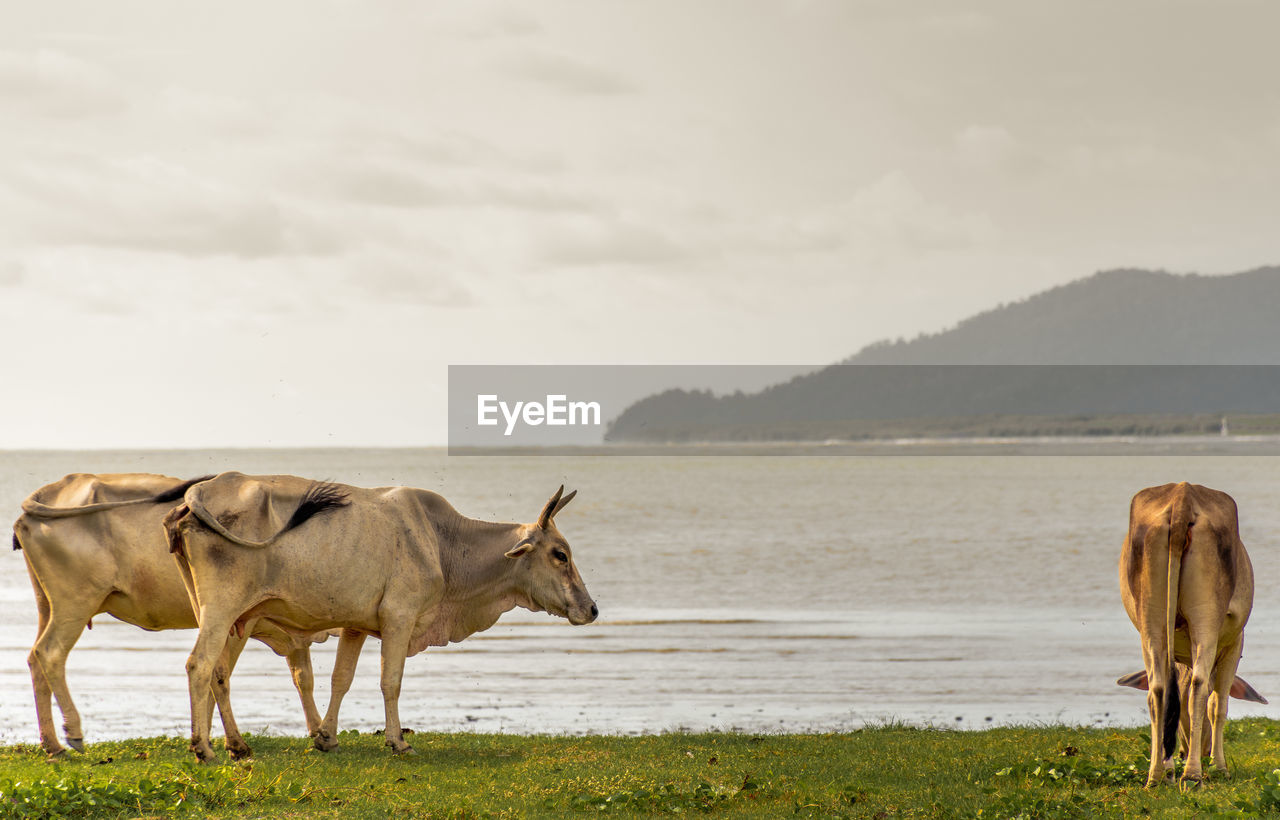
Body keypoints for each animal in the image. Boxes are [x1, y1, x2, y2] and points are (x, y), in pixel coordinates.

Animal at [11, 470, 330, 757]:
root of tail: (57, 487)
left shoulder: (292, 632)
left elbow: (303, 677)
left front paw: (319, 733)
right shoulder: (240, 622)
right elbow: (220, 674)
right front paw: (229, 743)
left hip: (47, 604)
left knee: (34, 659)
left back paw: (52, 745)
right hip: (76, 602)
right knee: (50, 653)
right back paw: (73, 733)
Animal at [165, 470, 599, 762]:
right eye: (560, 554)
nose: (592, 609)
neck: (442, 541)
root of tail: (199, 492)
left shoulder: (355, 625)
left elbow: (341, 680)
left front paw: (326, 737)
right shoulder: (399, 618)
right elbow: (391, 681)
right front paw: (398, 741)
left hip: (225, 616)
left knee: (217, 673)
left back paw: (235, 745)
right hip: (223, 610)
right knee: (200, 665)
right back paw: (204, 749)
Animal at [1116, 480, 1254, 788]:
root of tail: (1183, 496)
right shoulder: (1235, 643)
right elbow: (1219, 704)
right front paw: (1220, 767)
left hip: (1150, 620)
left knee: (1157, 689)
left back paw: (1157, 775)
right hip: (1207, 617)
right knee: (1200, 686)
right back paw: (1192, 775)